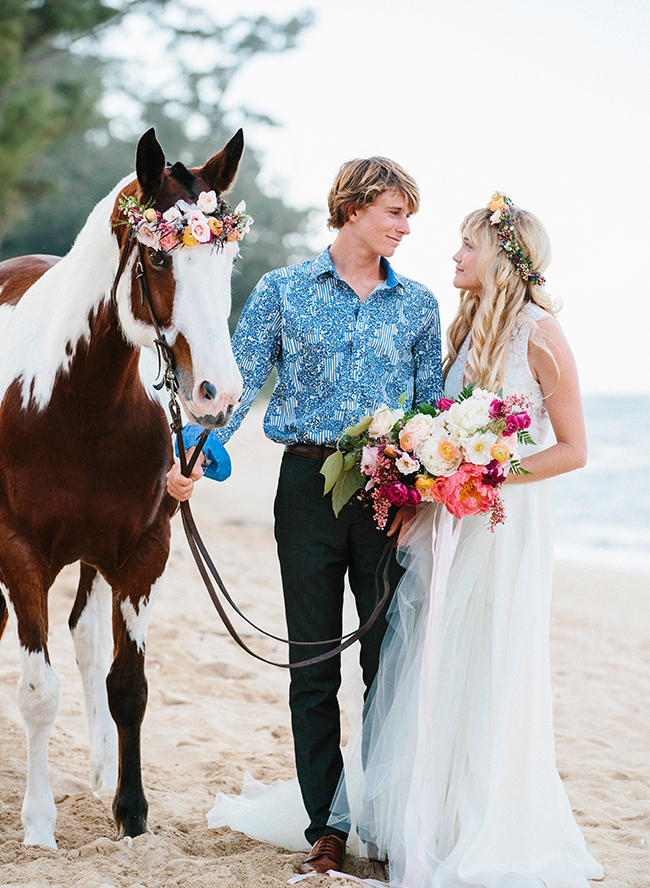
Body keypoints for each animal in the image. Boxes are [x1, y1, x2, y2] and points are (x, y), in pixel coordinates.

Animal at [0, 126, 246, 848]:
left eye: (228, 259)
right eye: (159, 259)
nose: (219, 395)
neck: (76, 402)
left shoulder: (142, 553)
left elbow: (127, 686)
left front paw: (131, 812)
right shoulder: (19, 554)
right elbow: (37, 690)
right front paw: (38, 824)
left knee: (85, 640)